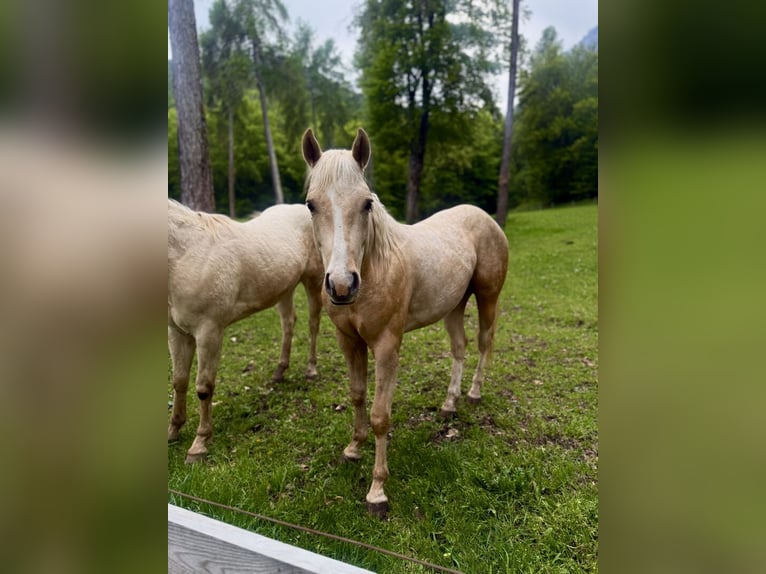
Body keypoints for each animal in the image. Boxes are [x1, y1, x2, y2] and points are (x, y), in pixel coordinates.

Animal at [167, 199, 324, 462]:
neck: (187, 255)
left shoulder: (209, 332)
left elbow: (203, 387)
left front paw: (199, 444)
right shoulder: (178, 333)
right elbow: (179, 381)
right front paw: (173, 430)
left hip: (313, 280)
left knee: (313, 324)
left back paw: (311, 370)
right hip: (284, 288)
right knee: (288, 323)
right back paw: (279, 371)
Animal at [301, 128, 509, 516]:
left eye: (367, 203)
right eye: (311, 205)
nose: (341, 285)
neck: (375, 267)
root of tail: (484, 216)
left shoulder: (386, 345)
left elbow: (381, 415)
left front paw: (377, 491)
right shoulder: (348, 340)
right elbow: (357, 396)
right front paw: (353, 448)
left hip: (487, 297)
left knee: (484, 343)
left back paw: (473, 393)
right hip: (454, 306)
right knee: (459, 348)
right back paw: (448, 404)